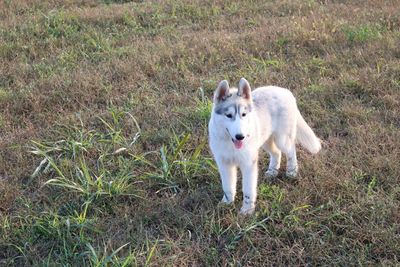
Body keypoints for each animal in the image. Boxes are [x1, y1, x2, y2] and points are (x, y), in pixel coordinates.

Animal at [208, 78, 320, 216]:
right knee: (277, 153)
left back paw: (291, 171)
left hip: (282, 138)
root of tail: (286, 92)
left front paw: (247, 210)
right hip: (266, 139)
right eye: (228, 115)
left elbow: (248, 189)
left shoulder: (248, 163)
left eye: (244, 114)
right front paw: (227, 203)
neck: (231, 143)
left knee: (291, 151)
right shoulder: (224, 164)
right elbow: (227, 186)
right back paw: (272, 171)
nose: (240, 137)